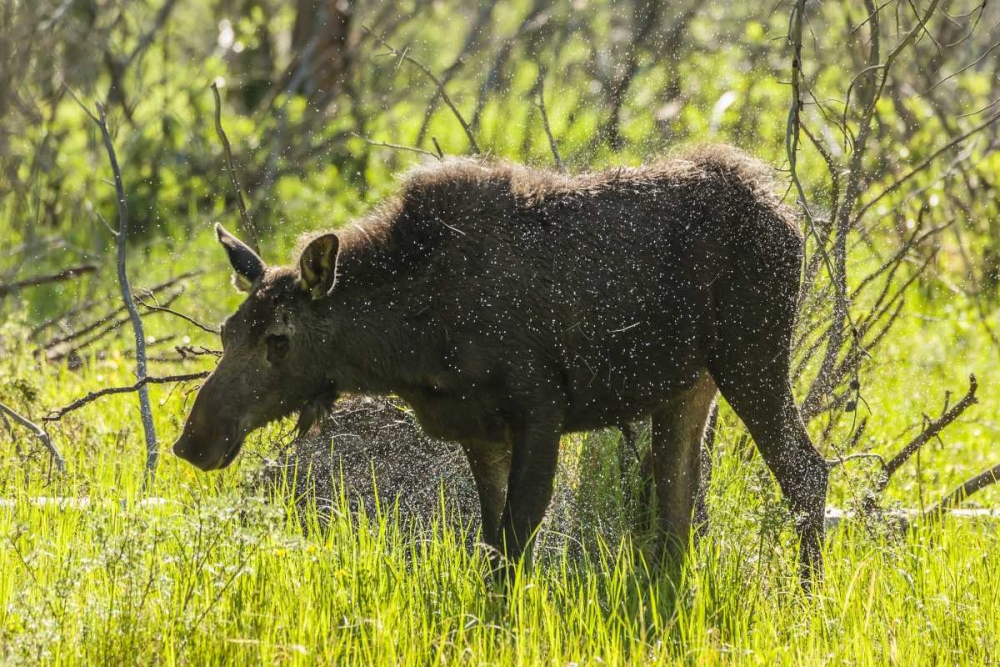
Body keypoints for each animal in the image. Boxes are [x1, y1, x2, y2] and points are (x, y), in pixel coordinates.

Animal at [172, 145, 828, 584]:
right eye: (227, 331)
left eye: (278, 340)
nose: (193, 440)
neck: (410, 341)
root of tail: (787, 214)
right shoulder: (480, 429)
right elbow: (492, 543)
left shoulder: (541, 408)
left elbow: (518, 537)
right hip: (689, 389)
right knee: (678, 508)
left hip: (752, 355)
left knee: (806, 472)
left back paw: (806, 596)